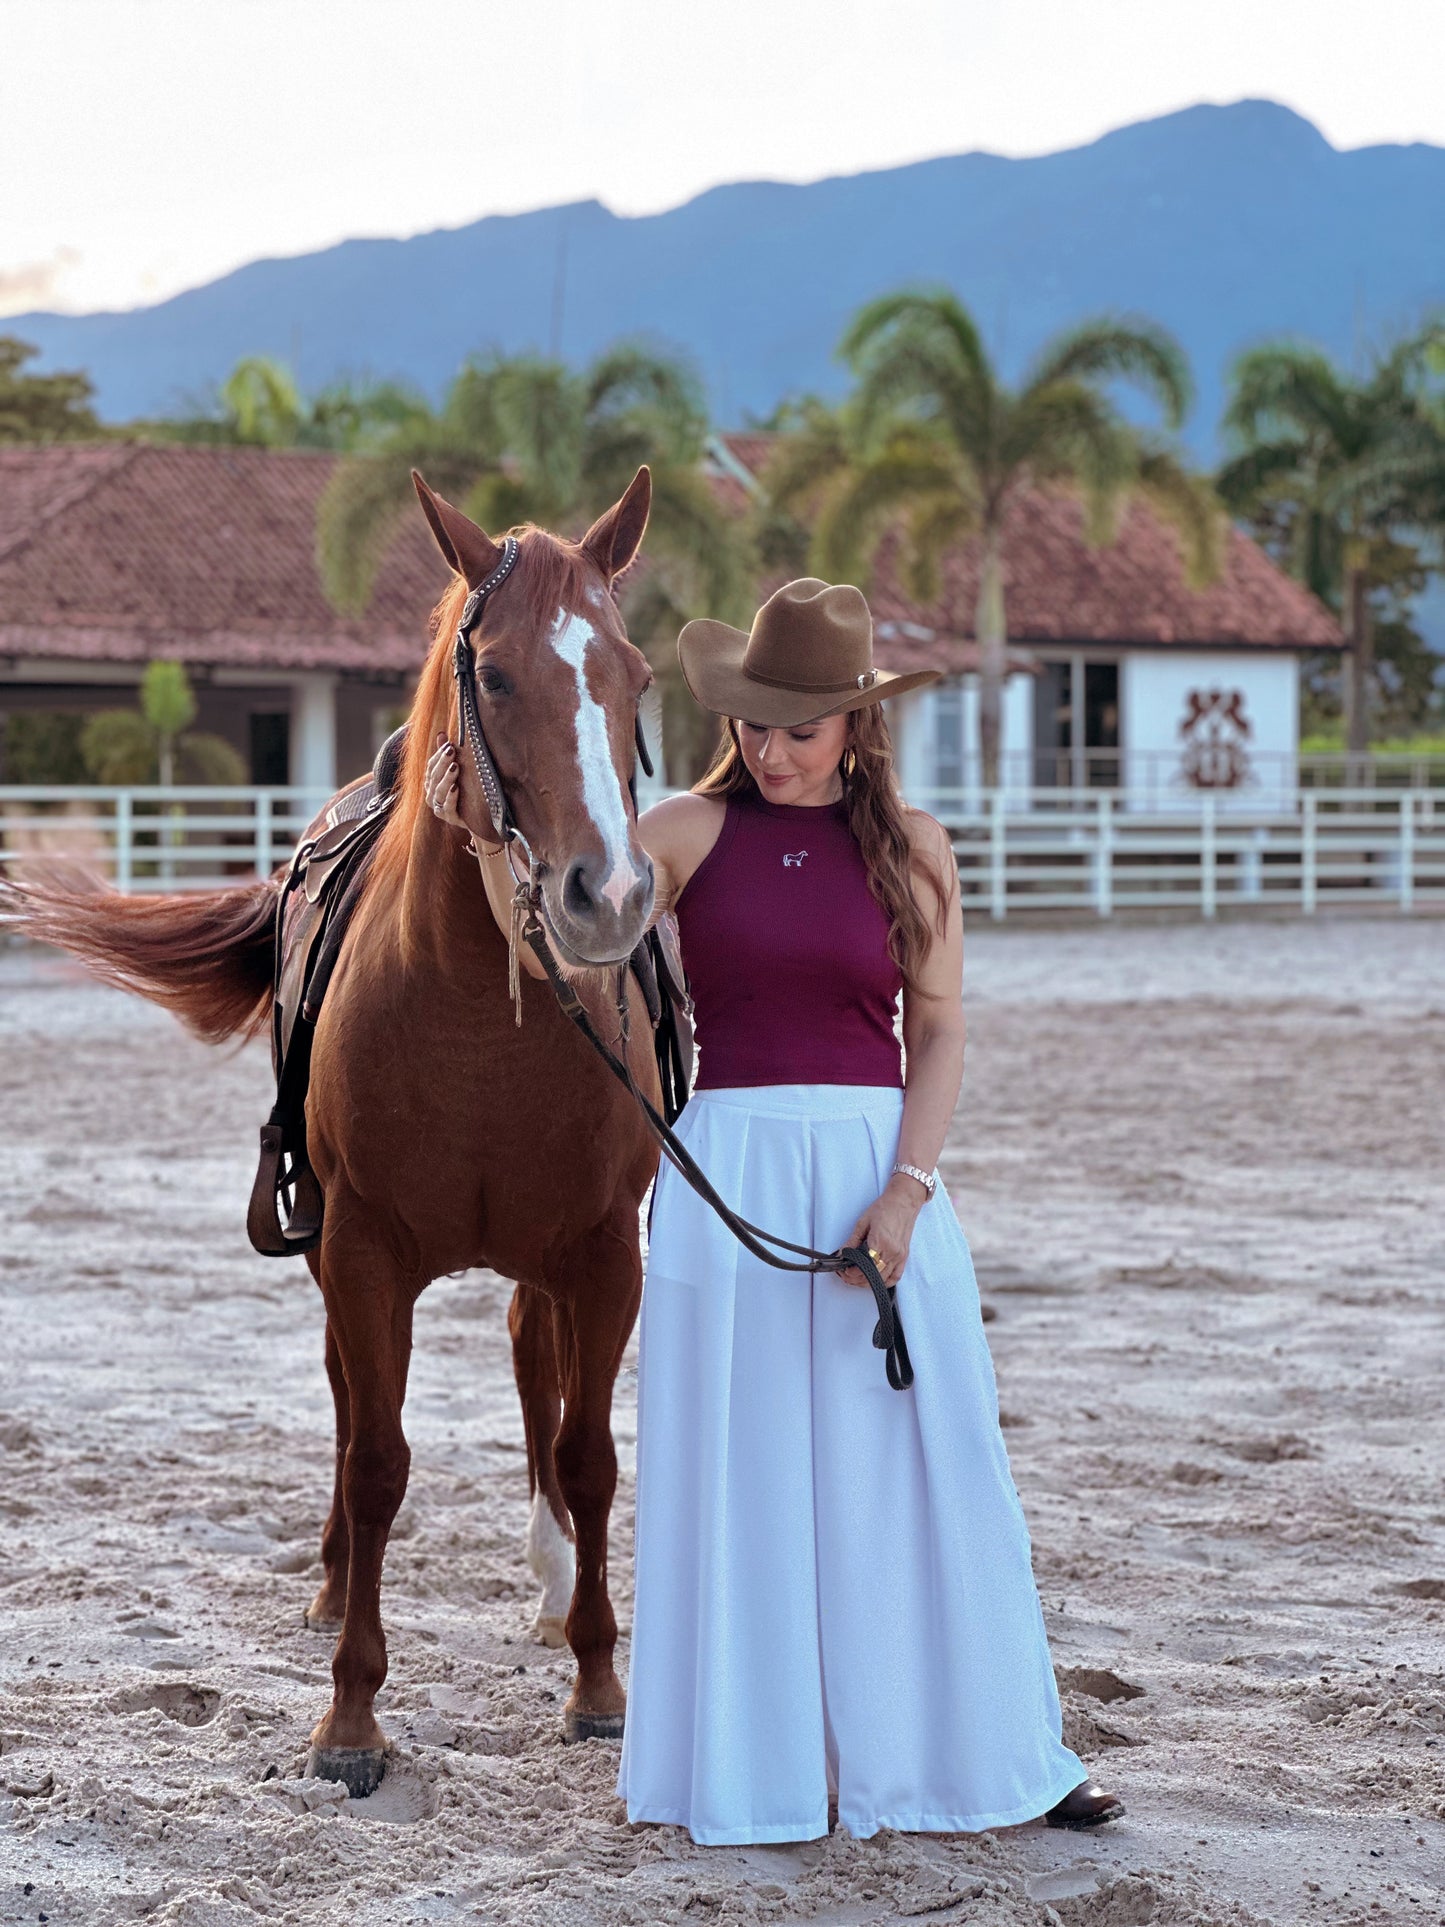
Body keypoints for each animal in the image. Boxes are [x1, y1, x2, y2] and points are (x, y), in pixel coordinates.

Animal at [2, 468, 664, 1795]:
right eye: (494, 675)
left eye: (633, 673)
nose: (606, 897)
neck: (481, 1015)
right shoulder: (359, 1251)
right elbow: (375, 1460)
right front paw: (351, 1713)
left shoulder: (603, 1253)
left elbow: (588, 1453)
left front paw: (597, 1683)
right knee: (354, 1404)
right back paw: (329, 1585)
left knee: (533, 1369)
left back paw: (549, 1583)